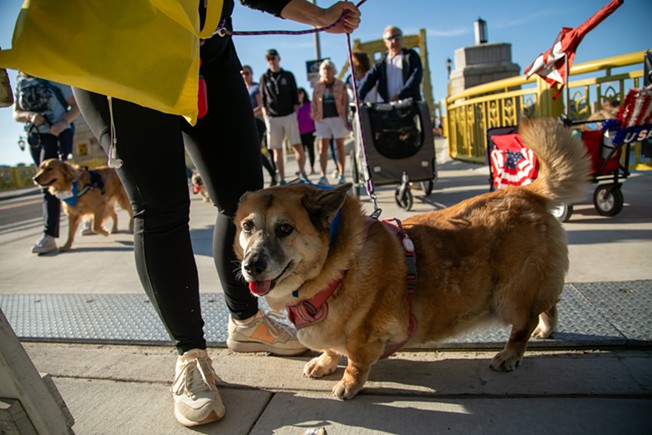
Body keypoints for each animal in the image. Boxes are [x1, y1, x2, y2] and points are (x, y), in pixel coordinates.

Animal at [234, 117, 592, 400]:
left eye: (285, 228)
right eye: (247, 226)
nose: (251, 266)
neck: (335, 268)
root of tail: (526, 192)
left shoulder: (364, 338)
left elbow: (355, 363)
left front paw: (348, 385)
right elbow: (330, 349)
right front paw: (324, 363)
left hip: (510, 295)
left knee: (524, 322)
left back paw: (510, 353)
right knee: (549, 304)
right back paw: (547, 329)